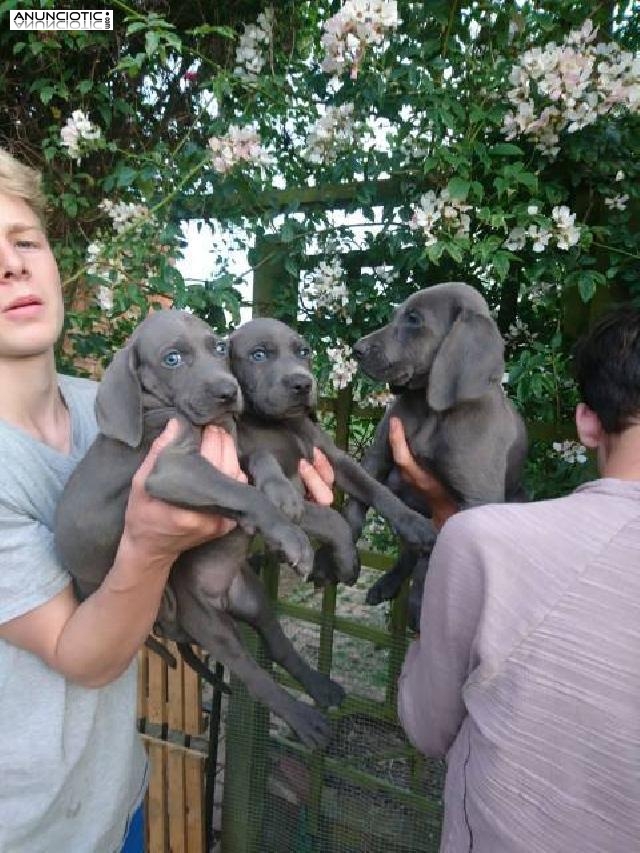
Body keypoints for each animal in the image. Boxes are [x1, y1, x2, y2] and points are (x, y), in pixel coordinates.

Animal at [55, 312, 344, 744]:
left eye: (220, 348)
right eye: (172, 359)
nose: (228, 392)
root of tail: (223, 600)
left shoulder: (235, 456)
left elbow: (268, 480)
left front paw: (294, 513)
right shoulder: (170, 468)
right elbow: (243, 491)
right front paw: (291, 536)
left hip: (254, 601)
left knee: (277, 647)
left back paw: (321, 688)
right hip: (211, 627)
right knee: (254, 676)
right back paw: (306, 722)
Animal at [228, 316, 432, 584]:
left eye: (304, 352)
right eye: (258, 354)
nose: (303, 384)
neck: (280, 423)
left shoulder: (335, 459)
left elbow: (378, 490)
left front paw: (415, 524)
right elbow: (332, 518)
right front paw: (347, 561)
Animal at [342, 282, 528, 624]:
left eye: (414, 319)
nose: (357, 349)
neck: (432, 411)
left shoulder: (477, 500)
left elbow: (437, 557)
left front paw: (421, 605)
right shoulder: (377, 459)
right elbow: (356, 504)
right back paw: (387, 585)